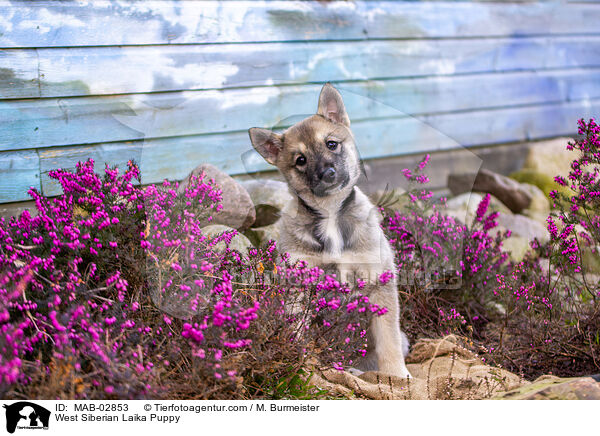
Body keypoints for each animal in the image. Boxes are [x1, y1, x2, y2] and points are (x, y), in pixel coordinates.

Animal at [248, 83, 412, 376]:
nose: (327, 174)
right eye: (300, 160)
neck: (331, 214)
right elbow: (297, 330)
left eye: (332, 144)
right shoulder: (299, 284)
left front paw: (396, 374)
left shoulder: (379, 281)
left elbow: (388, 337)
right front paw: (299, 363)